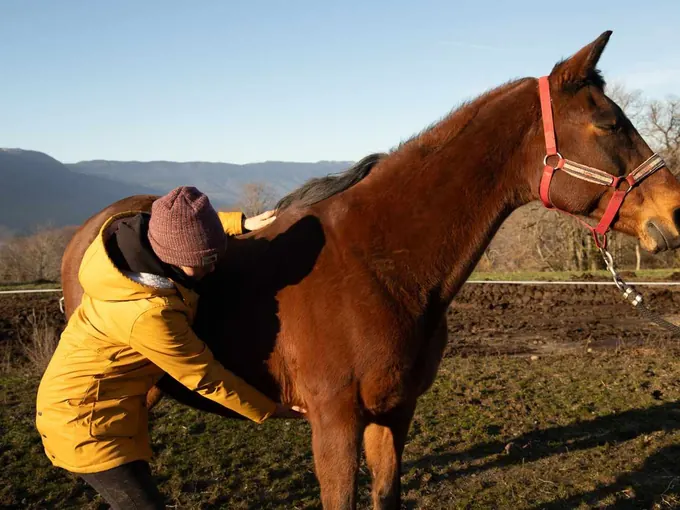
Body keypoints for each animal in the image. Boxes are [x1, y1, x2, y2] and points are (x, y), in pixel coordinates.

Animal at [60, 31, 680, 509]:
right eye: (608, 125)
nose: (673, 214)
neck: (379, 268)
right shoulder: (334, 422)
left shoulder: (394, 412)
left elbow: (386, 495)